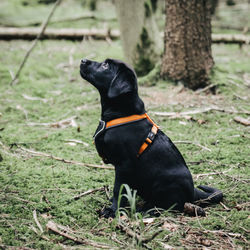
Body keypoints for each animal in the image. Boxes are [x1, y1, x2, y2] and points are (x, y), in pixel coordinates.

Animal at [80, 58, 223, 217]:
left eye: (105, 65)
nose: (83, 60)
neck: (121, 113)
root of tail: (192, 191)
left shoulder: (124, 165)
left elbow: (119, 189)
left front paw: (113, 210)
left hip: (164, 183)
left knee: (172, 205)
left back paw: (147, 210)